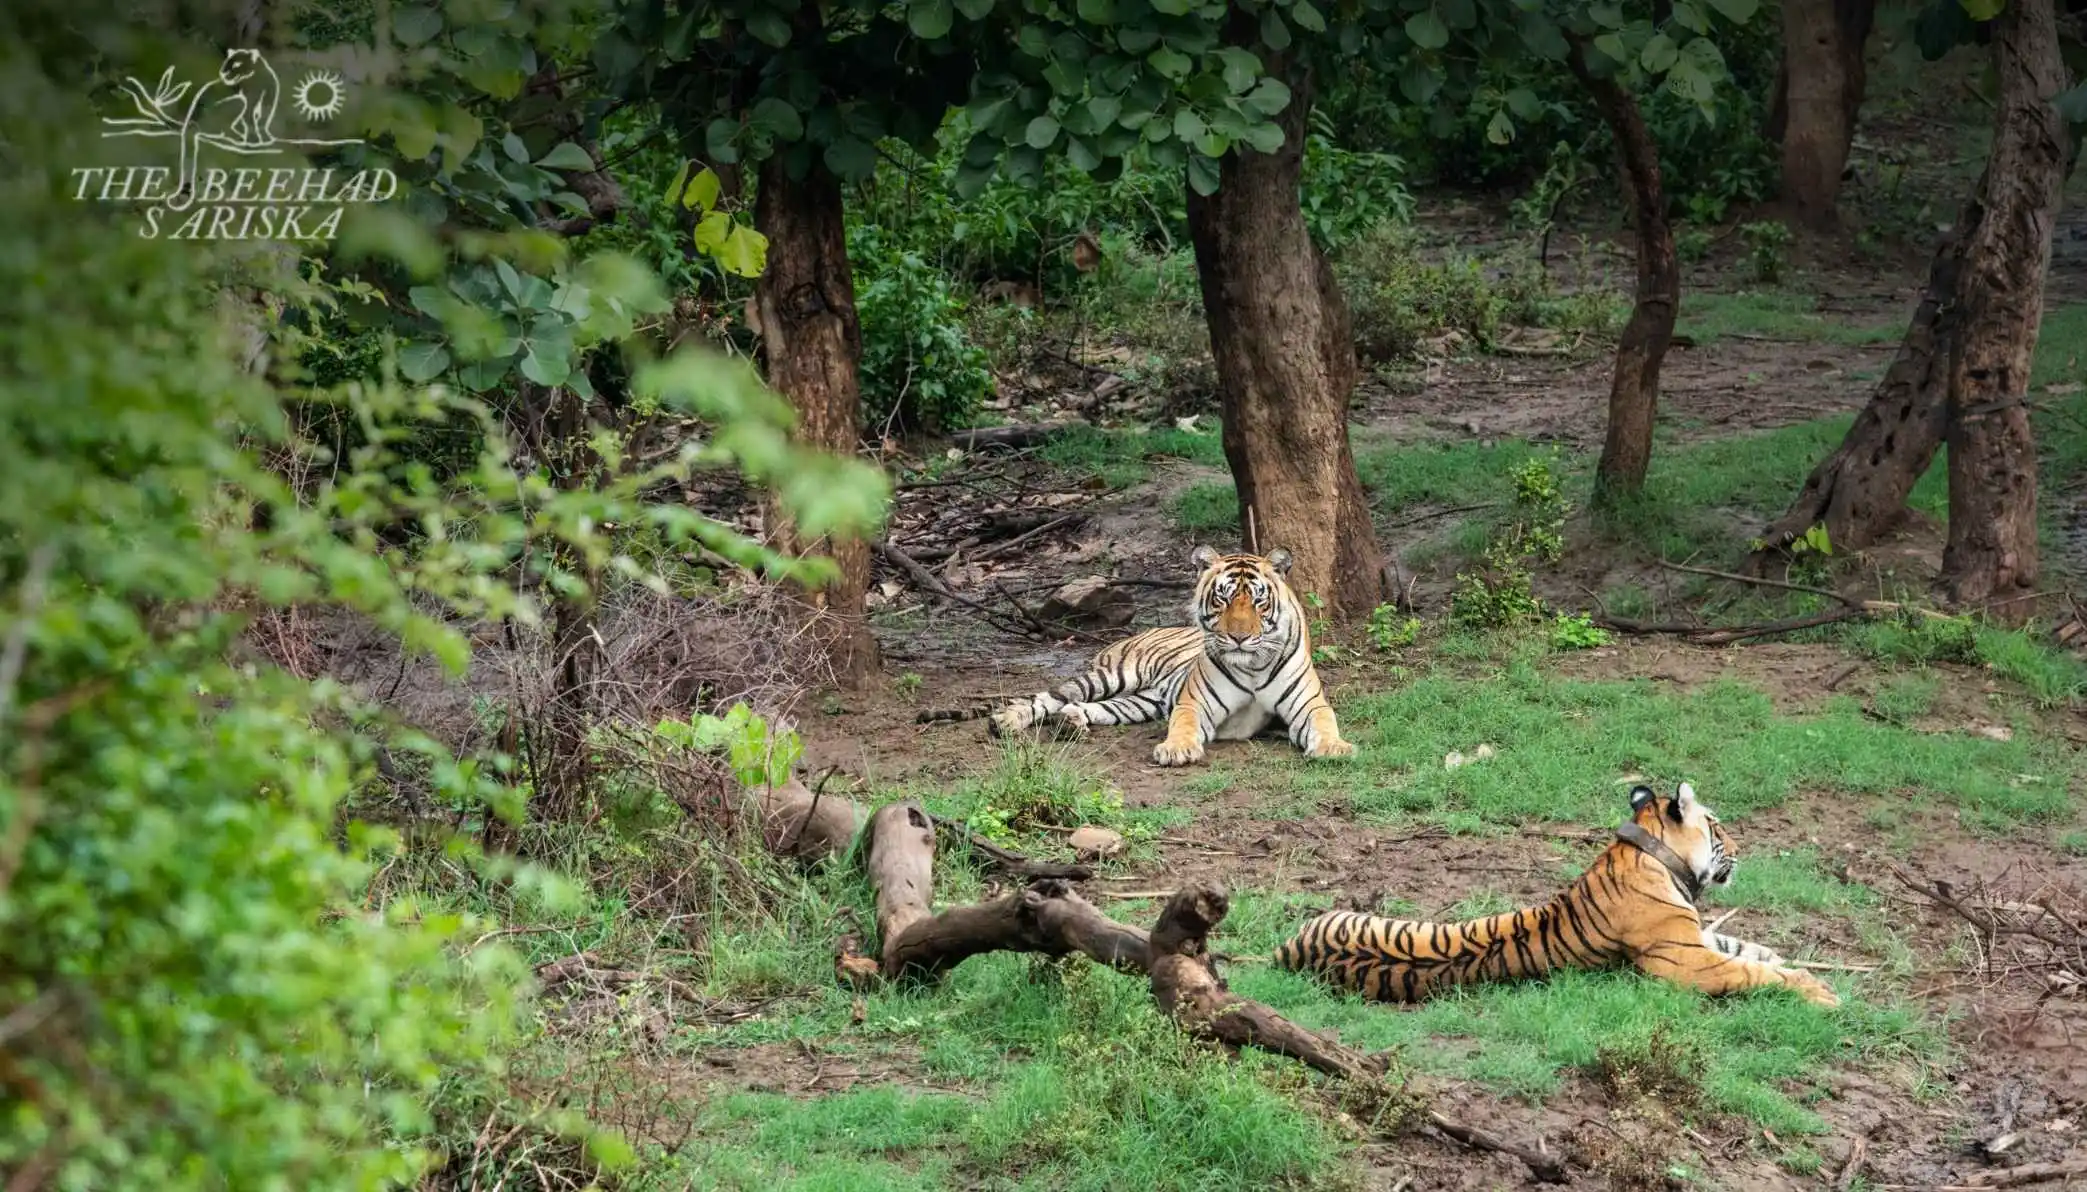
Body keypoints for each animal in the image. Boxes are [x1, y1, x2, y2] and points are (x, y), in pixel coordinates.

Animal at [917, 545, 1354, 768]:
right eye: (1223, 599)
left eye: (1259, 601)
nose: (1239, 638)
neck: (1250, 666)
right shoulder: (1195, 703)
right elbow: (1183, 725)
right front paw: (1176, 750)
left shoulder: (1308, 704)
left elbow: (1324, 721)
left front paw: (1334, 746)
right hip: (1110, 676)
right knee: (1045, 698)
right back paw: (1007, 721)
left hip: (1141, 701)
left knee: (1088, 709)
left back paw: (1071, 724)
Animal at [1273, 782, 1841, 1008]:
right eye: (1718, 826)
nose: (1741, 851)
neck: (1652, 853)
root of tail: (1289, 950)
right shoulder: (1687, 962)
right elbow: (1750, 970)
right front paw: (1820, 992)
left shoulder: (1696, 940)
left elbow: (1749, 949)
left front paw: (1794, 964)